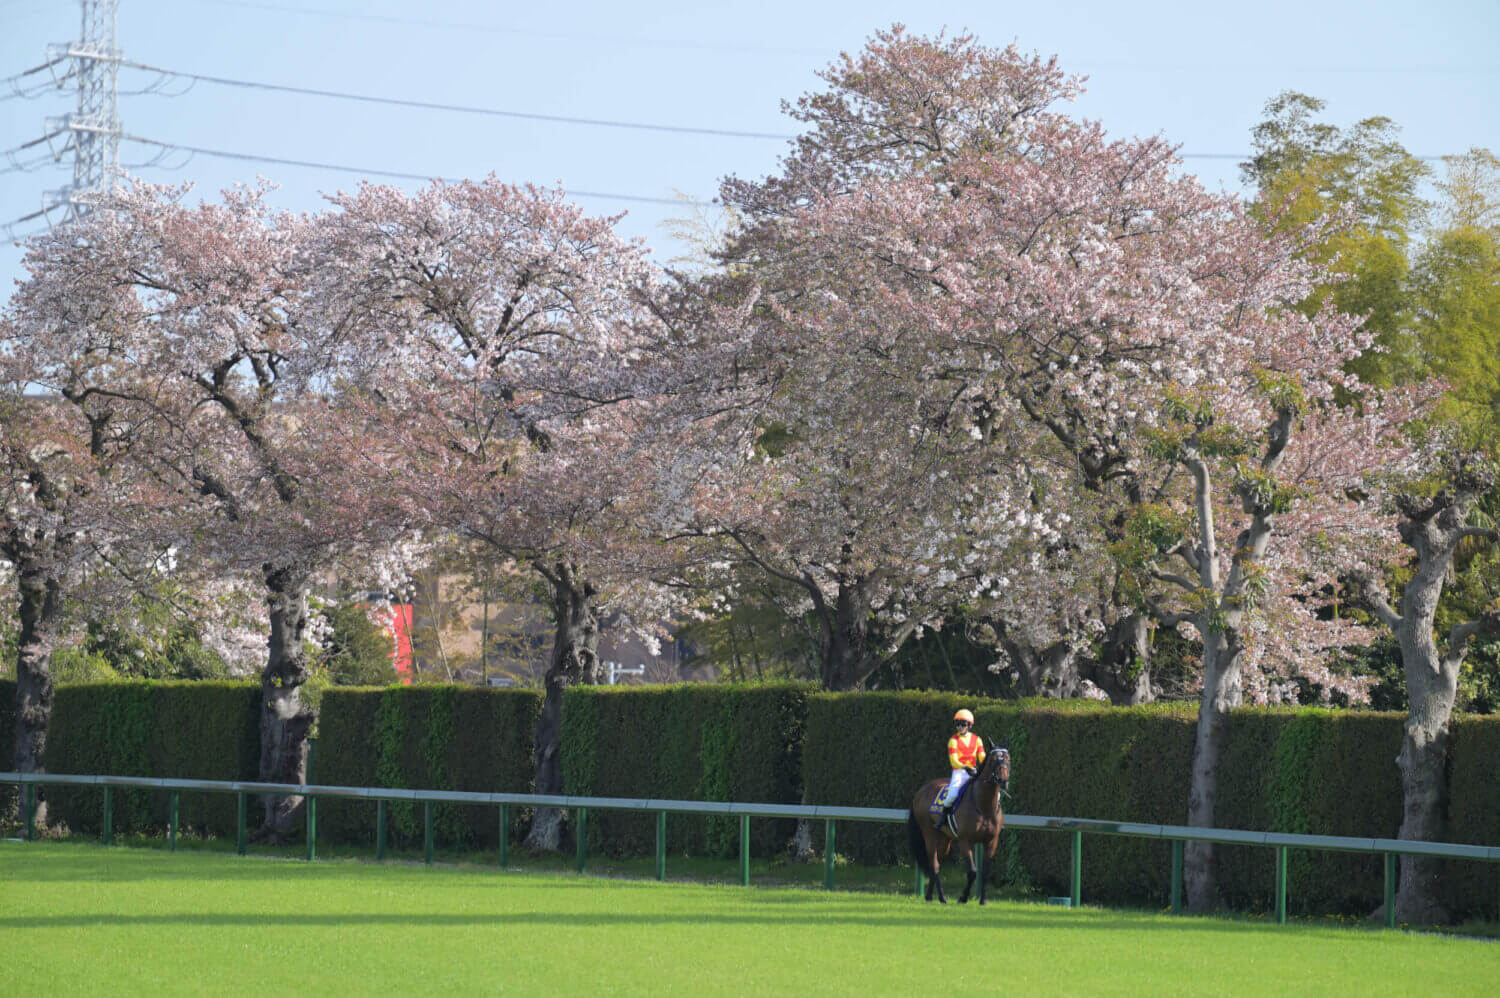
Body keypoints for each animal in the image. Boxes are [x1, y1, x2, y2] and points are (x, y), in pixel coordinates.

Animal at [906, 738, 1014, 900]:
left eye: (1007, 759)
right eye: (993, 761)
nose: (1003, 781)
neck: (984, 806)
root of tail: (921, 791)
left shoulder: (991, 840)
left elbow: (985, 872)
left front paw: (982, 900)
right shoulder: (965, 840)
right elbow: (972, 871)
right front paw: (963, 897)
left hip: (945, 839)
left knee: (937, 864)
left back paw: (931, 896)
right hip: (929, 834)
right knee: (934, 865)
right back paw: (941, 897)